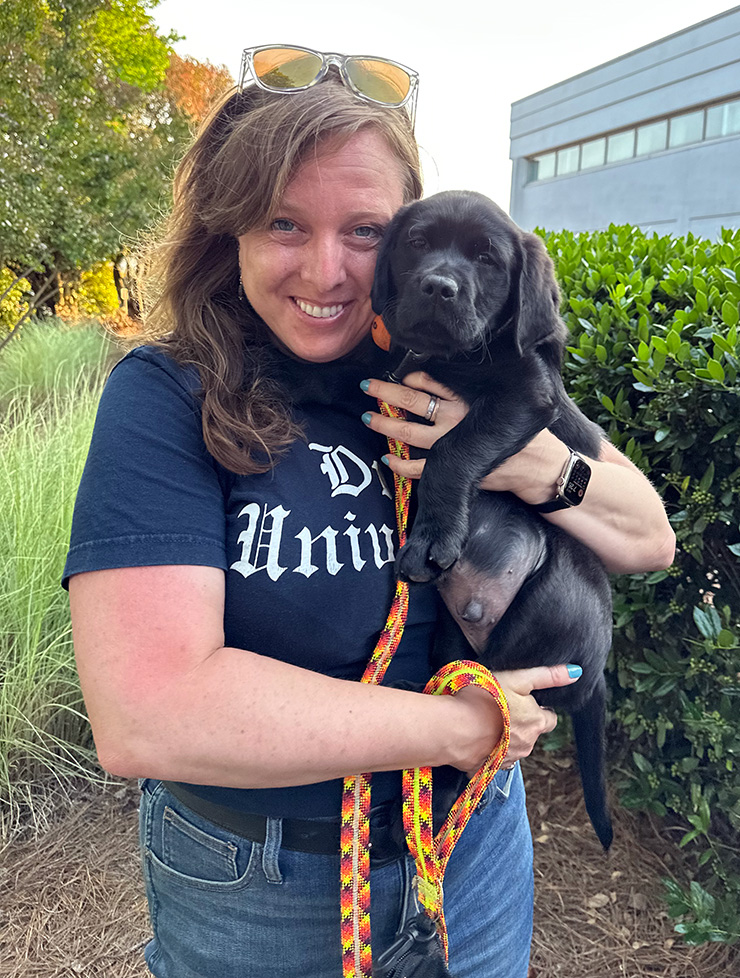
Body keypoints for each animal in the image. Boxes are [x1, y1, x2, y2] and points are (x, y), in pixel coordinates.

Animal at [372, 189, 616, 848]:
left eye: (486, 259)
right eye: (417, 243)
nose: (438, 287)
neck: (452, 359)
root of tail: (597, 675)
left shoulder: (525, 394)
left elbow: (454, 448)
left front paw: (430, 537)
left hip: (546, 606)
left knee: (492, 714)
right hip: (456, 635)